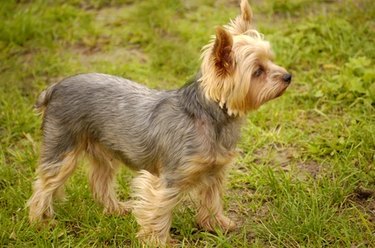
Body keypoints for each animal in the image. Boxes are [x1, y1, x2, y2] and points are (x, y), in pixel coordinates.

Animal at [27, 0, 292, 244]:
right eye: (257, 71)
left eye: (271, 61)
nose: (289, 76)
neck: (210, 116)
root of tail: (55, 88)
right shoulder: (167, 179)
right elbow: (158, 213)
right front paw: (157, 241)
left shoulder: (215, 171)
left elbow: (212, 198)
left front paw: (215, 224)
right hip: (62, 147)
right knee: (44, 184)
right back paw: (39, 222)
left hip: (102, 149)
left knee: (100, 181)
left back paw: (116, 209)